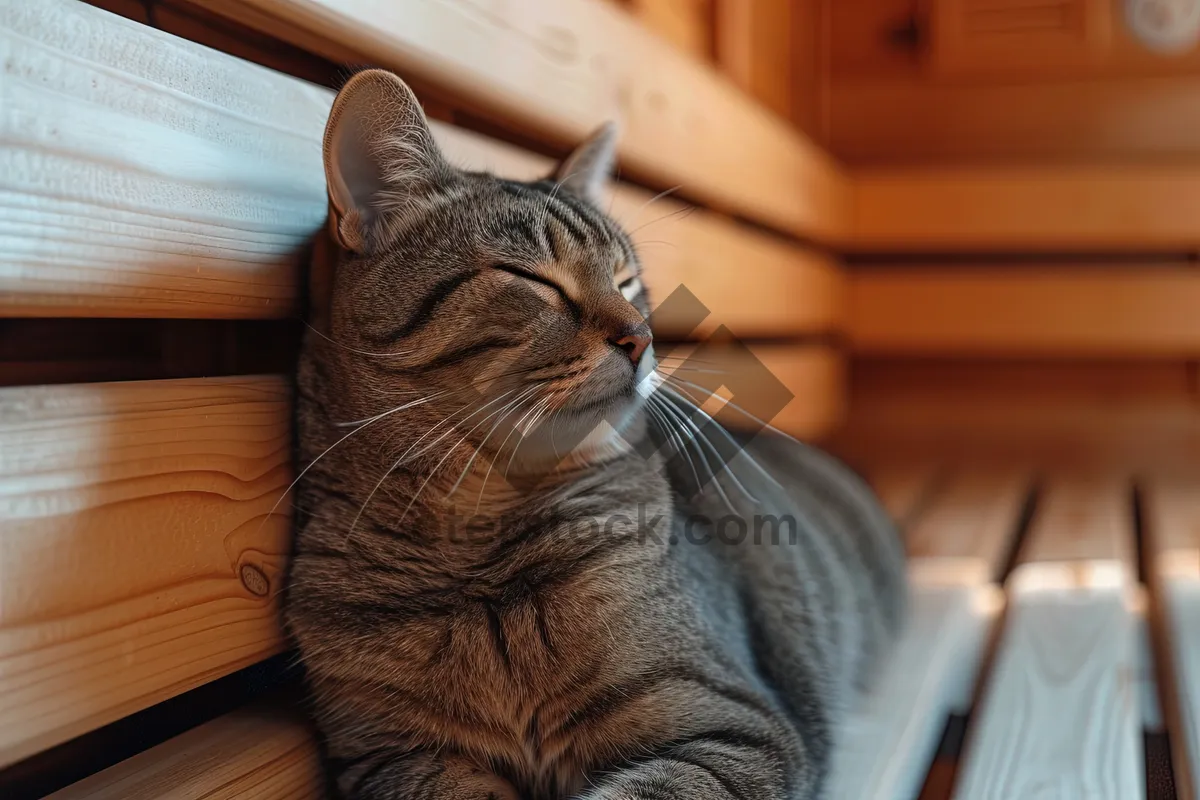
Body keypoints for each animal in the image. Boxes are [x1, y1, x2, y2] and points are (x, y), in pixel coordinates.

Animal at [290, 68, 902, 800]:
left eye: (627, 280)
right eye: (530, 279)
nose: (641, 337)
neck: (478, 543)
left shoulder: (733, 724)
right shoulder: (395, 759)